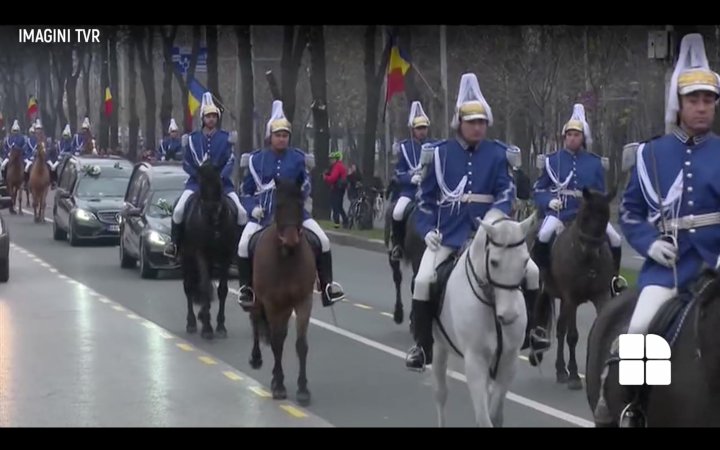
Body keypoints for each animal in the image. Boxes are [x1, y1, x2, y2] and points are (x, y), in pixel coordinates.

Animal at [248, 175, 316, 404]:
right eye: (278, 204)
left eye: (300, 203)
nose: (291, 240)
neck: (286, 258)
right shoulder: (272, 303)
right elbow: (276, 342)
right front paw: (279, 385)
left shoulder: (303, 301)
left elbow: (301, 344)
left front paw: (303, 388)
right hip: (258, 301)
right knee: (256, 324)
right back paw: (256, 358)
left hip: (286, 307)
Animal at [434, 211, 536, 426]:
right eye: (494, 262)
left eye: (525, 261)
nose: (509, 315)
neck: (492, 303)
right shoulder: (475, 361)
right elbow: (484, 418)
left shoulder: (508, 359)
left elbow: (495, 414)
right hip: (439, 346)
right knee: (440, 394)